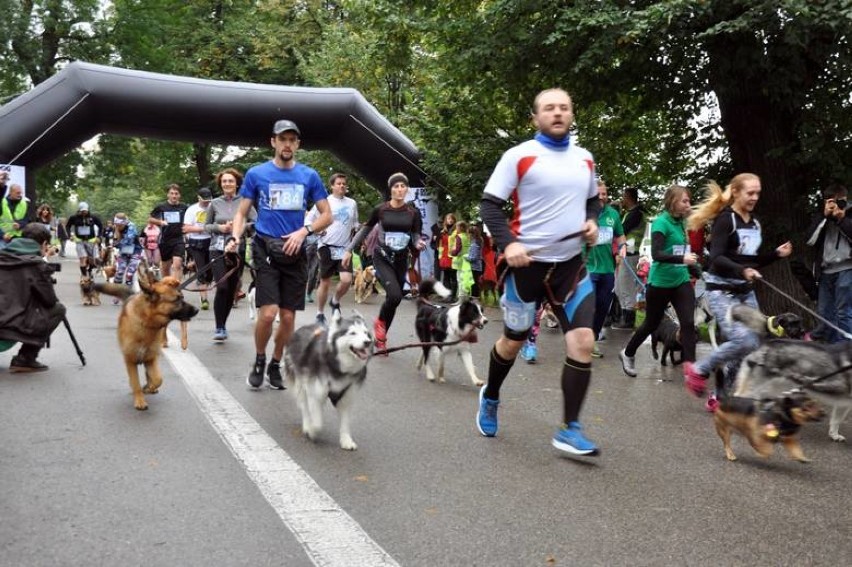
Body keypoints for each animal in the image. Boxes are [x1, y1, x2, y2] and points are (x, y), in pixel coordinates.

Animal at [95, 268, 198, 410]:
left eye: (182, 297)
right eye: (177, 299)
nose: (197, 310)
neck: (146, 323)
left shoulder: (151, 358)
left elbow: (158, 379)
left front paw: (149, 388)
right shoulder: (131, 361)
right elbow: (136, 383)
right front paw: (140, 400)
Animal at [282, 308, 372, 450]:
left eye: (365, 333)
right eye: (352, 333)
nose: (367, 342)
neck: (338, 367)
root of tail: (301, 328)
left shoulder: (346, 398)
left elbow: (345, 423)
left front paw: (346, 440)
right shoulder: (315, 394)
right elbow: (318, 423)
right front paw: (312, 431)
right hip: (301, 385)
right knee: (305, 408)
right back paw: (307, 425)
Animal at [724, 306, 852, 444]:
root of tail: (768, 342)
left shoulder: (843, 402)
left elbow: (836, 420)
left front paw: (834, 435)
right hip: (757, 387)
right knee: (740, 398)